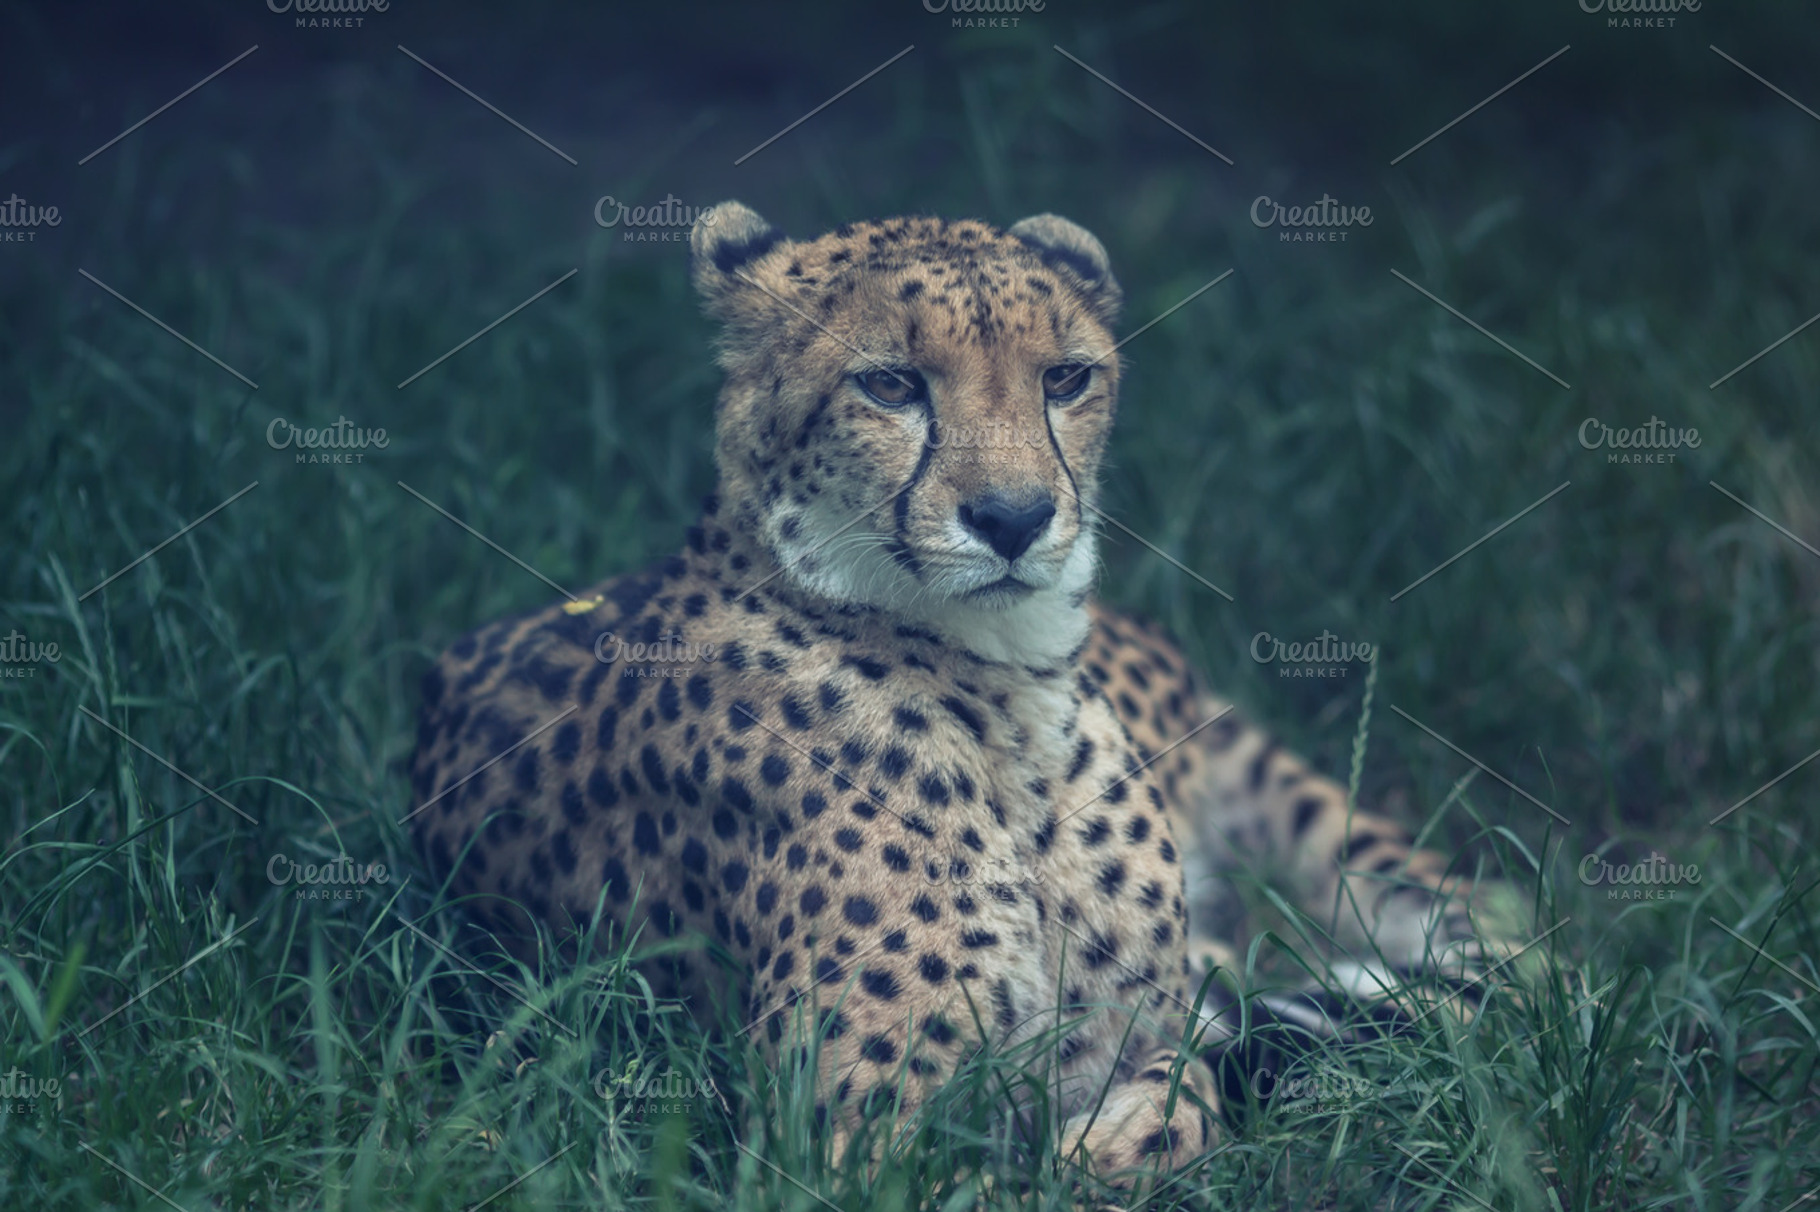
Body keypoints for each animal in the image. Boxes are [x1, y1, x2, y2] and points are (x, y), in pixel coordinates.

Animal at [407, 201, 1509, 1185]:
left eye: (1065, 377)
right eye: (890, 384)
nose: (1014, 519)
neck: (1008, 684)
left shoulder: (1132, 1022)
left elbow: (1179, 1089)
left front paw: (1123, 1132)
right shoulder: (845, 1139)